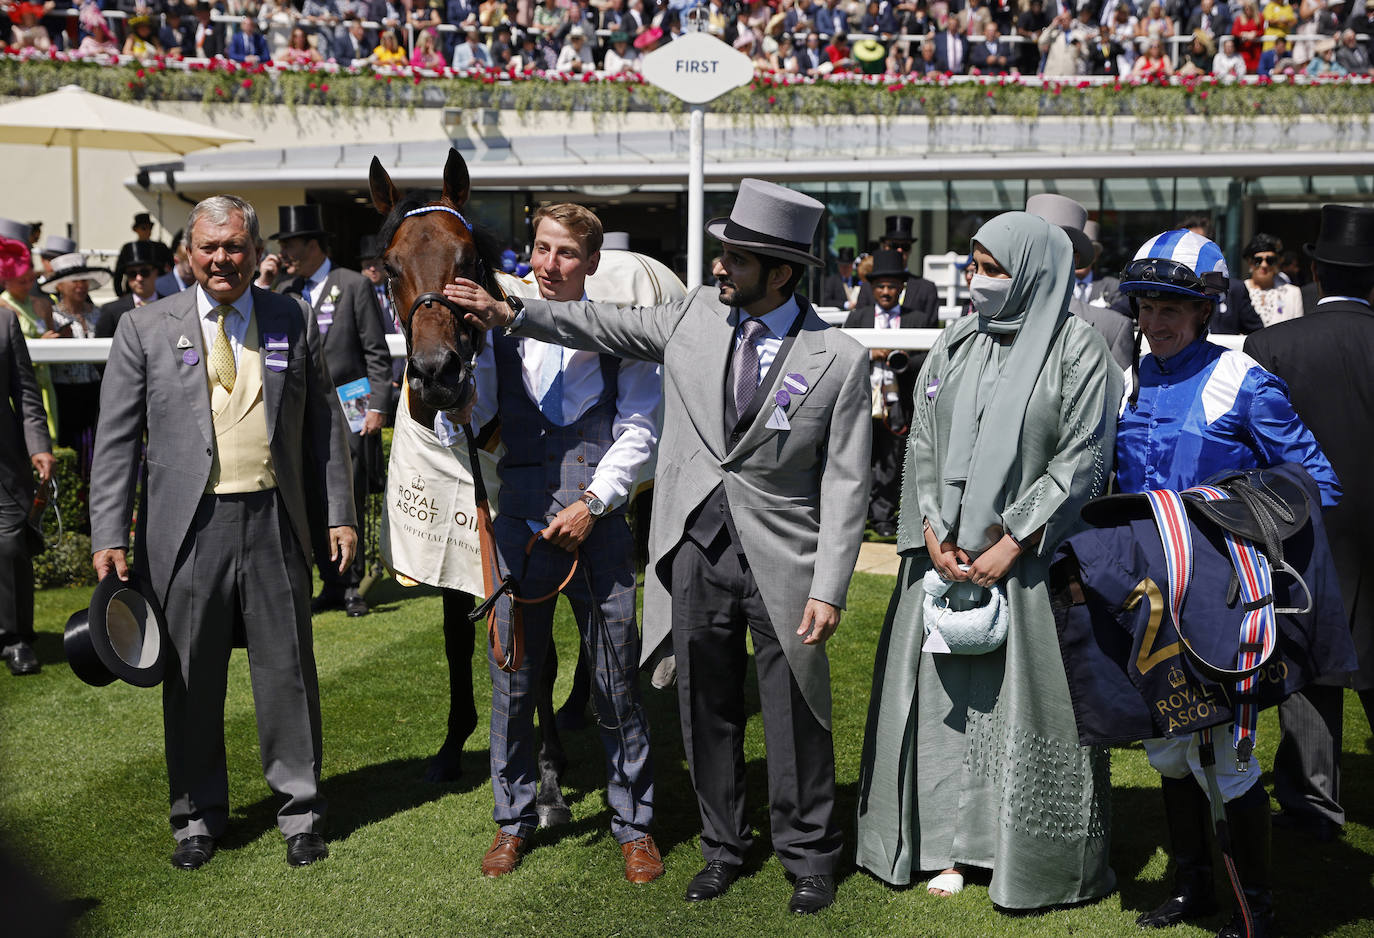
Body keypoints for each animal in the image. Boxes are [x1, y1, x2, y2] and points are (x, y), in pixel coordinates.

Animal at [368, 148, 577, 829]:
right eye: (389, 267)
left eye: (467, 259)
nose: (437, 373)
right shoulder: (450, 539)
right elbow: (458, 638)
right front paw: (450, 746)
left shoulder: (531, 546)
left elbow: (538, 652)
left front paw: (549, 780)